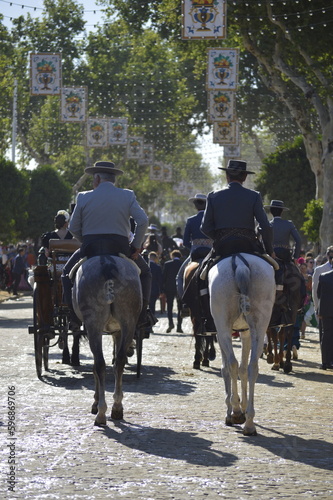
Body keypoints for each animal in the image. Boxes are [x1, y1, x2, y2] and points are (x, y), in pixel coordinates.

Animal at [72, 254, 141, 426]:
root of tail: (108, 264)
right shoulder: (118, 331)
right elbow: (117, 359)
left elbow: (95, 367)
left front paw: (96, 403)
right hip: (129, 321)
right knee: (119, 362)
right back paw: (117, 407)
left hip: (93, 324)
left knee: (99, 364)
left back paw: (101, 412)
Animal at [209, 252, 274, 436]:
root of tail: (239, 261)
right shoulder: (246, 333)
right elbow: (244, 370)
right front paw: (244, 407)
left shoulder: (220, 332)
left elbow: (226, 368)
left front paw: (232, 409)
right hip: (259, 325)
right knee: (252, 367)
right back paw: (250, 422)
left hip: (223, 327)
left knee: (231, 364)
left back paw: (237, 413)